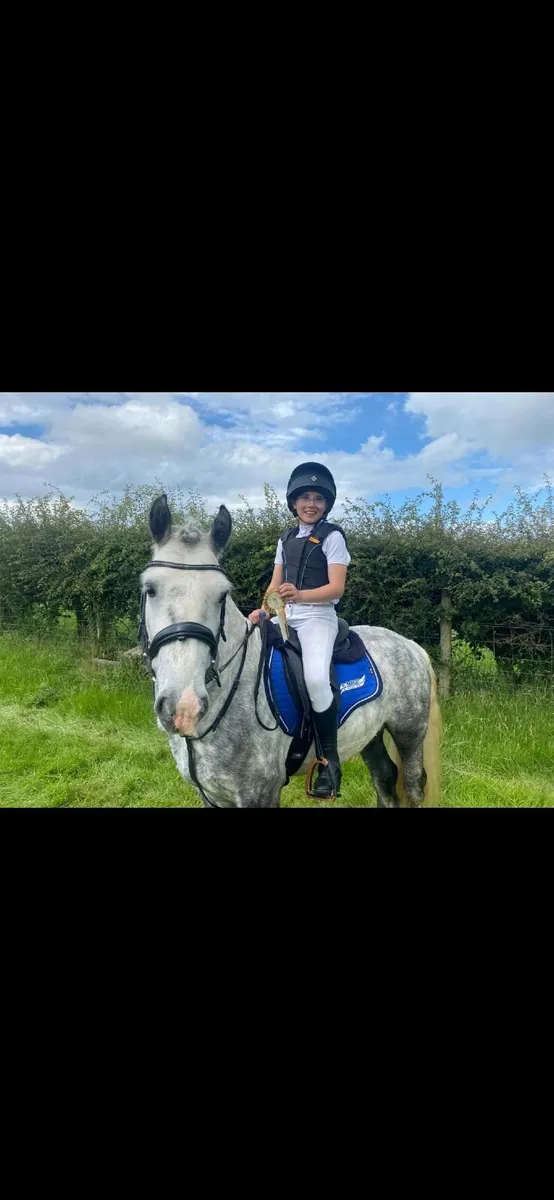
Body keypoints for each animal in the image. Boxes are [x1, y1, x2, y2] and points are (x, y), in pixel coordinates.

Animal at [139, 495, 442, 808]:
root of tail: (409, 644)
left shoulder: (260, 792)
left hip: (409, 734)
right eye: (150, 589)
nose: (183, 708)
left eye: (222, 595)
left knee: (413, 783)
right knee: (384, 778)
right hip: (371, 735)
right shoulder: (210, 795)